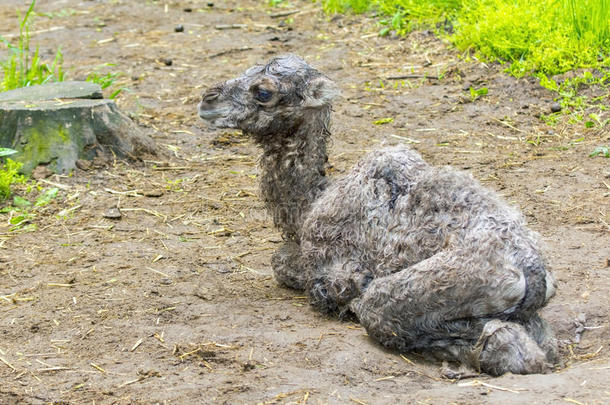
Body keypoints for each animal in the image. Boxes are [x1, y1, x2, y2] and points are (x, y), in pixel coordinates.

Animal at [198, 54, 556, 376]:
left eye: (263, 92)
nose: (207, 100)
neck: (312, 202)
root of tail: (534, 273)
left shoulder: (336, 268)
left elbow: (290, 267)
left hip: (450, 282)